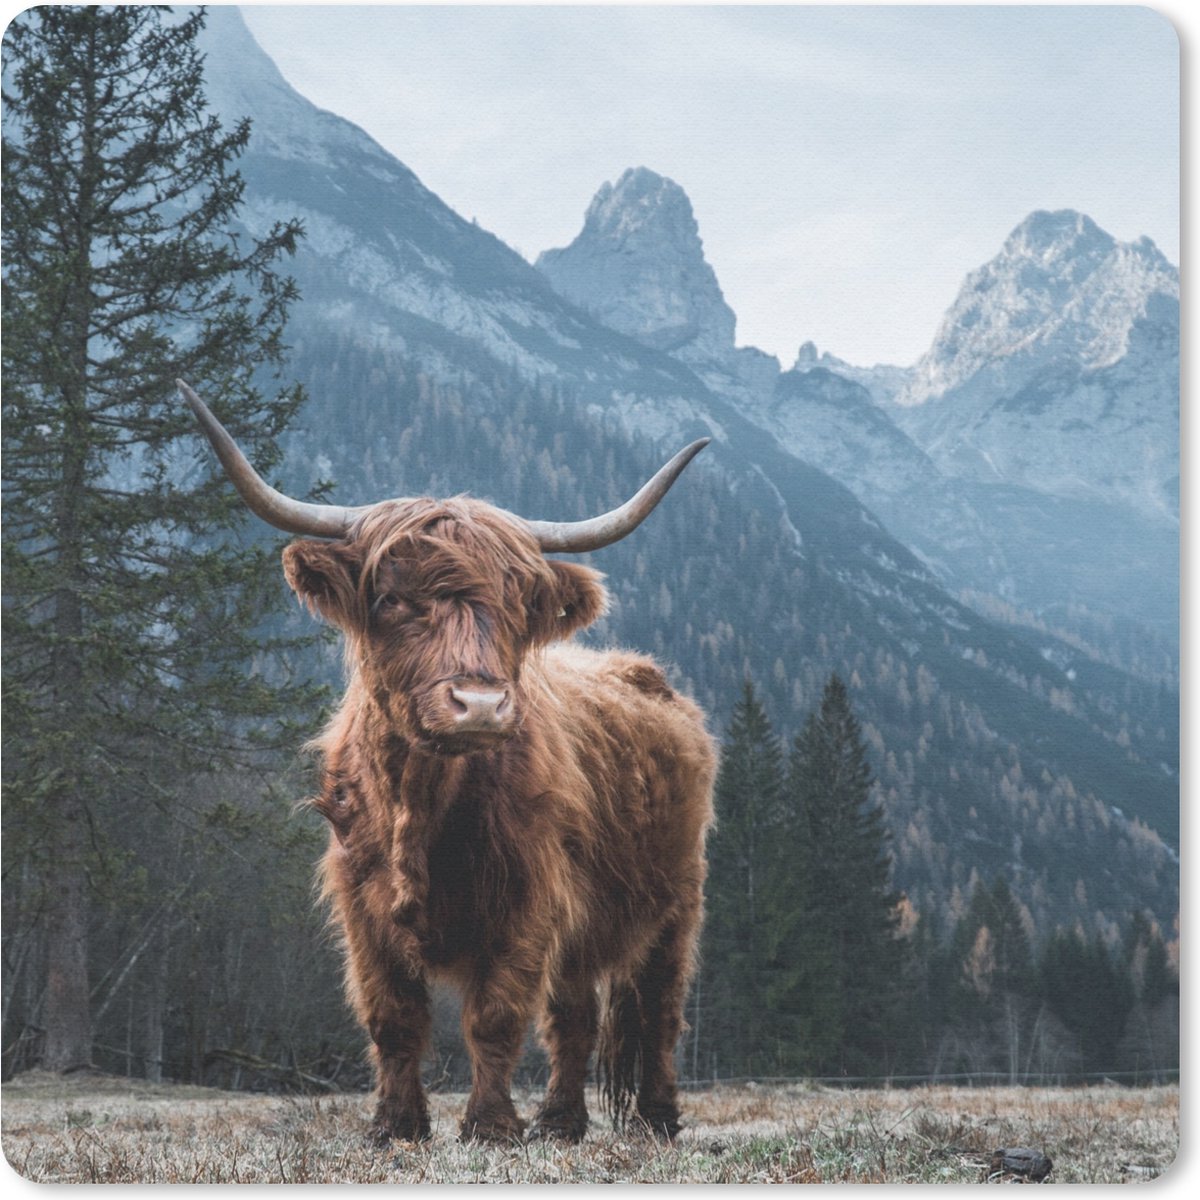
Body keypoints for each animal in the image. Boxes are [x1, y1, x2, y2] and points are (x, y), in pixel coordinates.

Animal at [179, 381, 716, 1145]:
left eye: (518, 605)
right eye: (392, 599)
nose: (481, 704)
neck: (420, 803)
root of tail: (645, 674)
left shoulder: (527, 899)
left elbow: (495, 1017)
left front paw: (489, 1126)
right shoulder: (362, 906)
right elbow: (393, 1017)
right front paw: (395, 1125)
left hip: (677, 901)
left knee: (660, 1010)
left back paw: (657, 1120)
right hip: (587, 927)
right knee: (575, 1017)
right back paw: (561, 1121)